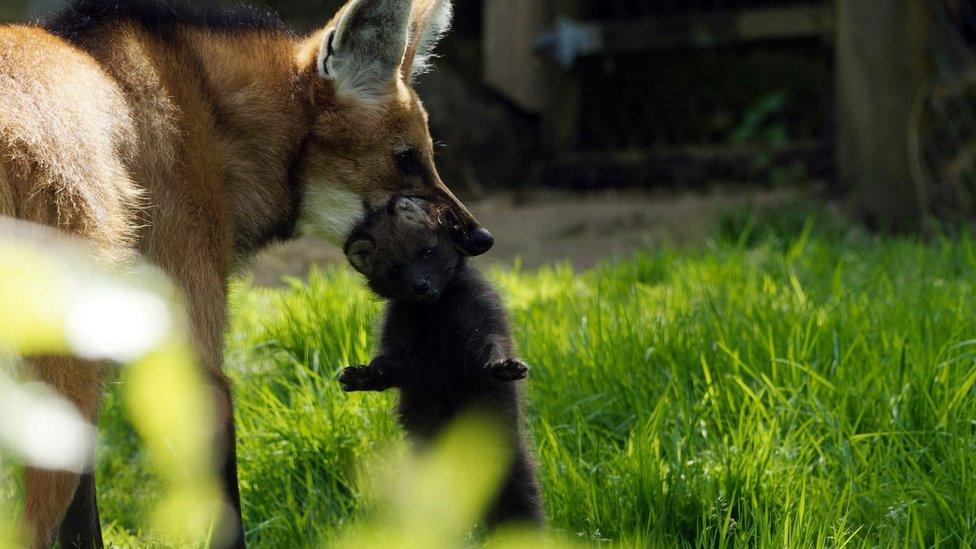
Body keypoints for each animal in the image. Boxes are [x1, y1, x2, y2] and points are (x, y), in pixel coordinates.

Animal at [340, 199, 544, 528]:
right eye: (394, 268)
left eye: (427, 251)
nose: (420, 286)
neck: (434, 309)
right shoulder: (402, 346)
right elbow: (386, 366)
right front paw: (363, 376)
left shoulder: (480, 319)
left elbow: (491, 346)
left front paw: (503, 365)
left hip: (508, 464)